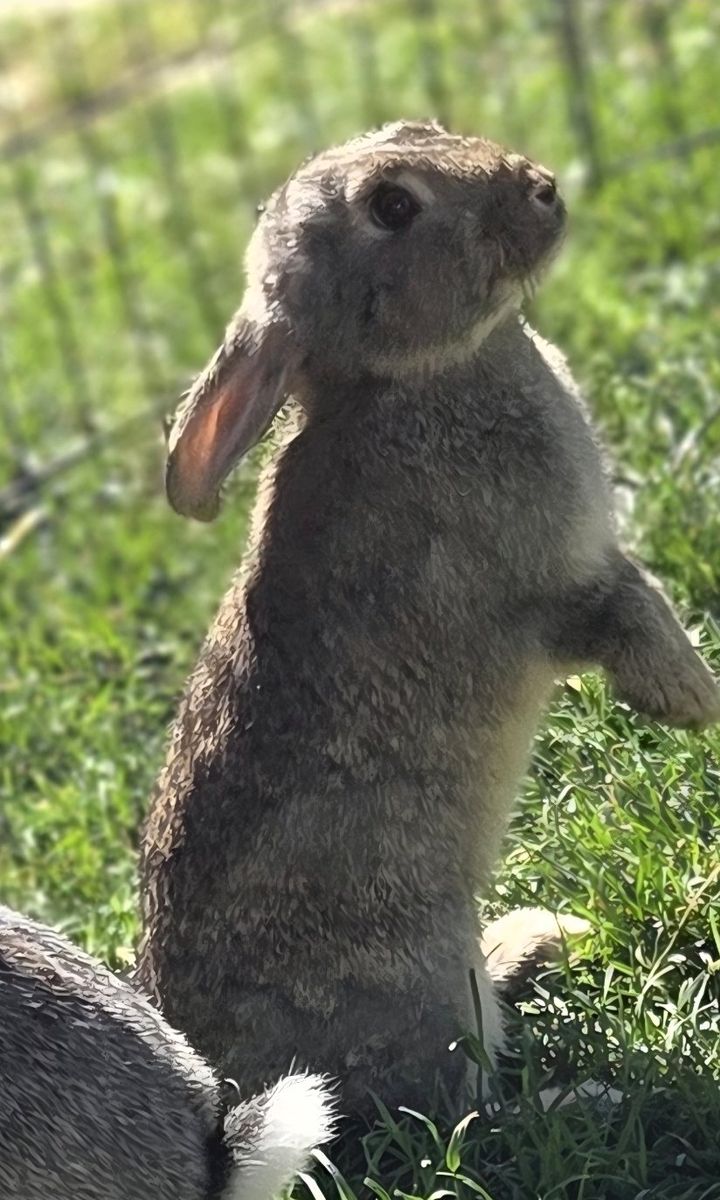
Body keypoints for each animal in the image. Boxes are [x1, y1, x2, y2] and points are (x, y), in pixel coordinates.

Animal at [137, 120, 720, 1121]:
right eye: (392, 207)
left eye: (419, 131)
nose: (543, 189)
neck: (418, 376)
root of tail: (224, 1081)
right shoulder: (553, 588)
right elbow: (625, 606)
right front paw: (694, 699)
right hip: (421, 971)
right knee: (464, 1108)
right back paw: (592, 1096)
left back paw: (539, 938)